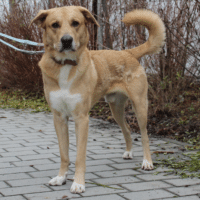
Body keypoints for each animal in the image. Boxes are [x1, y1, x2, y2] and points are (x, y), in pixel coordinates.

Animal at [30, 6, 166, 193]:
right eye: (55, 25)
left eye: (76, 23)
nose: (67, 40)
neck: (66, 65)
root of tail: (127, 52)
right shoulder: (59, 118)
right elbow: (64, 154)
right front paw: (61, 177)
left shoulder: (82, 119)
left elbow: (79, 156)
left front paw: (78, 183)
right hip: (116, 109)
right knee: (127, 129)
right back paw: (129, 152)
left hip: (140, 106)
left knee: (144, 134)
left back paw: (147, 162)